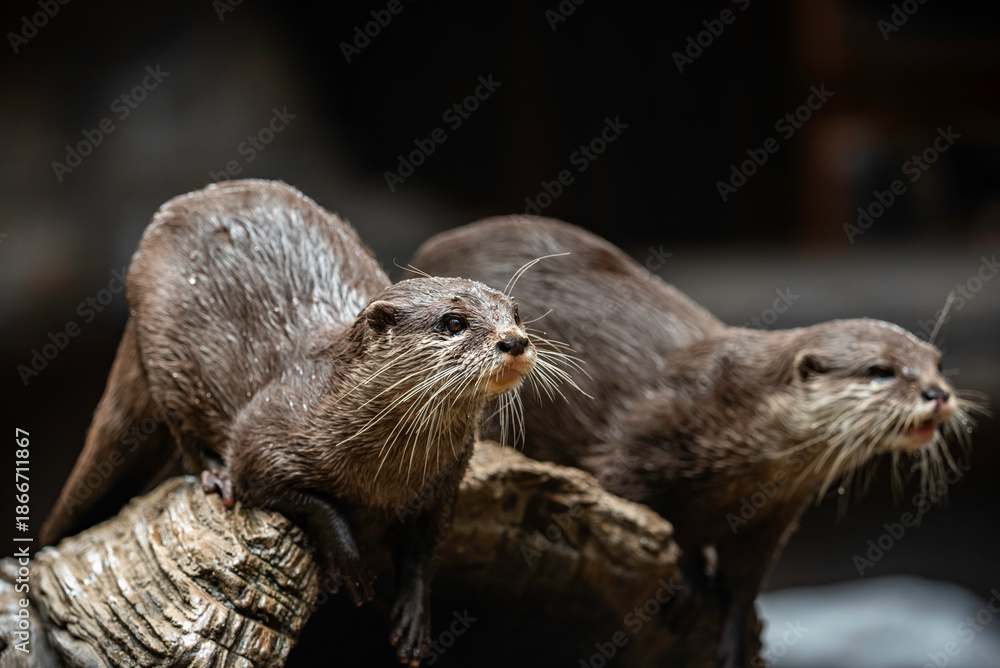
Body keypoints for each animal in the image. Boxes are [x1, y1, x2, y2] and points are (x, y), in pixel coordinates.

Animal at [42, 182, 537, 665]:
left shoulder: (445, 483)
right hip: (163, 350)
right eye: (453, 322)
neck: (387, 474)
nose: (514, 341)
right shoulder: (266, 432)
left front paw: (414, 618)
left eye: (515, 313)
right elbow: (293, 494)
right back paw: (214, 477)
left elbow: (426, 553)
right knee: (182, 427)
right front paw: (347, 561)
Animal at [410, 216, 981, 667]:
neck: (735, 425)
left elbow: (745, 581)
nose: (938, 393)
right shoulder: (640, 445)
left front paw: (733, 634)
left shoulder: (772, 517)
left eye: (937, 362)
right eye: (881, 371)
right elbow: (652, 512)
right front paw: (688, 582)